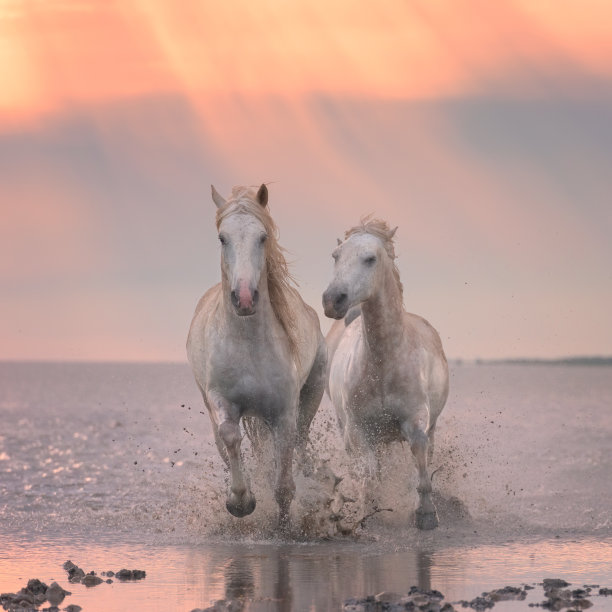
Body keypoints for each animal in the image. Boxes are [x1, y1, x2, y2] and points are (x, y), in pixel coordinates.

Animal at [186, 183, 328, 532]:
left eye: (262, 237)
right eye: (222, 238)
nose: (245, 297)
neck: (248, 344)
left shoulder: (284, 412)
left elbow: (284, 480)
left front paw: (284, 523)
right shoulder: (222, 400)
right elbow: (231, 437)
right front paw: (240, 501)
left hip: (310, 396)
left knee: (300, 444)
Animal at [322, 218, 448, 528]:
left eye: (371, 258)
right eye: (336, 255)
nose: (333, 300)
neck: (382, 365)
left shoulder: (417, 419)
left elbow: (419, 455)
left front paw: (426, 514)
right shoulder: (358, 429)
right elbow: (369, 473)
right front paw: (369, 509)